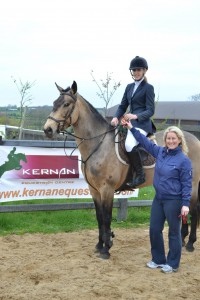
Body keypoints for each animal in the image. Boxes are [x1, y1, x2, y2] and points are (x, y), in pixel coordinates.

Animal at [43, 81, 200, 258]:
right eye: (54, 103)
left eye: (66, 104)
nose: (48, 129)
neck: (99, 144)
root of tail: (193, 138)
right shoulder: (94, 190)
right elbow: (99, 217)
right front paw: (100, 245)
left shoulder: (107, 189)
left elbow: (106, 217)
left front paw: (106, 249)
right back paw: (183, 239)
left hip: (192, 184)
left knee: (193, 209)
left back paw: (190, 243)